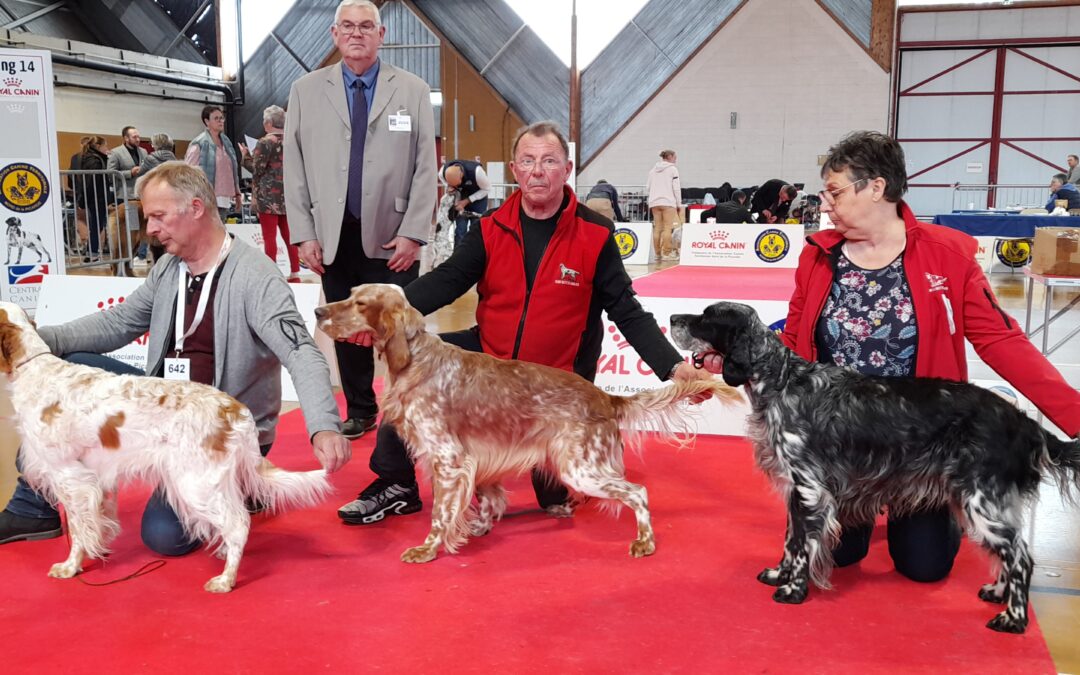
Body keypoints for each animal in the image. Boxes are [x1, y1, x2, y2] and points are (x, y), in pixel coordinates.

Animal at [0, 300, 328, 587]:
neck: (35, 371)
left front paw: (71, 566)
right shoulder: (95, 477)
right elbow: (97, 522)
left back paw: (225, 579)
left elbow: (80, 530)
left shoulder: (69, 476)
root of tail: (235, 409)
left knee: (238, 525)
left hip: (194, 483)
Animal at [313, 285, 743, 561]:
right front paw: (476, 529)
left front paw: (429, 548)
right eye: (349, 294)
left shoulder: (448, 458)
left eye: (359, 302)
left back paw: (644, 542)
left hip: (580, 467)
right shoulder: (476, 458)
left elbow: (440, 514)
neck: (416, 358)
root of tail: (605, 396)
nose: (318, 312)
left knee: (638, 492)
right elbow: (487, 499)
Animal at [665, 302, 1080, 630]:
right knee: (1010, 554)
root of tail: (1023, 421)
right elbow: (790, 539)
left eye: (707, 318)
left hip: (982, 501)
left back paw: (1013, 619)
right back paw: (998, 592)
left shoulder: (809, 488)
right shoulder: (798, 490)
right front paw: (777, 574)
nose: (671, 317)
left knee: (1021, 556)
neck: (782, 381)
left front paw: (793, 590)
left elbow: (801, 546)